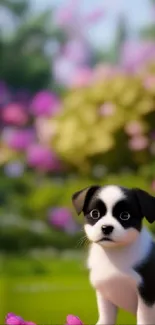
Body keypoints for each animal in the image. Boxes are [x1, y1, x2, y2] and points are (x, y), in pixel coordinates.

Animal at [71, 185, 155, 324]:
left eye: (125, 216)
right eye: (95, 214)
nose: (106, 227)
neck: (113, 253)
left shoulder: (147, 292)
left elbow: (144, 315)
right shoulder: (104, 291)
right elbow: (106, 314)